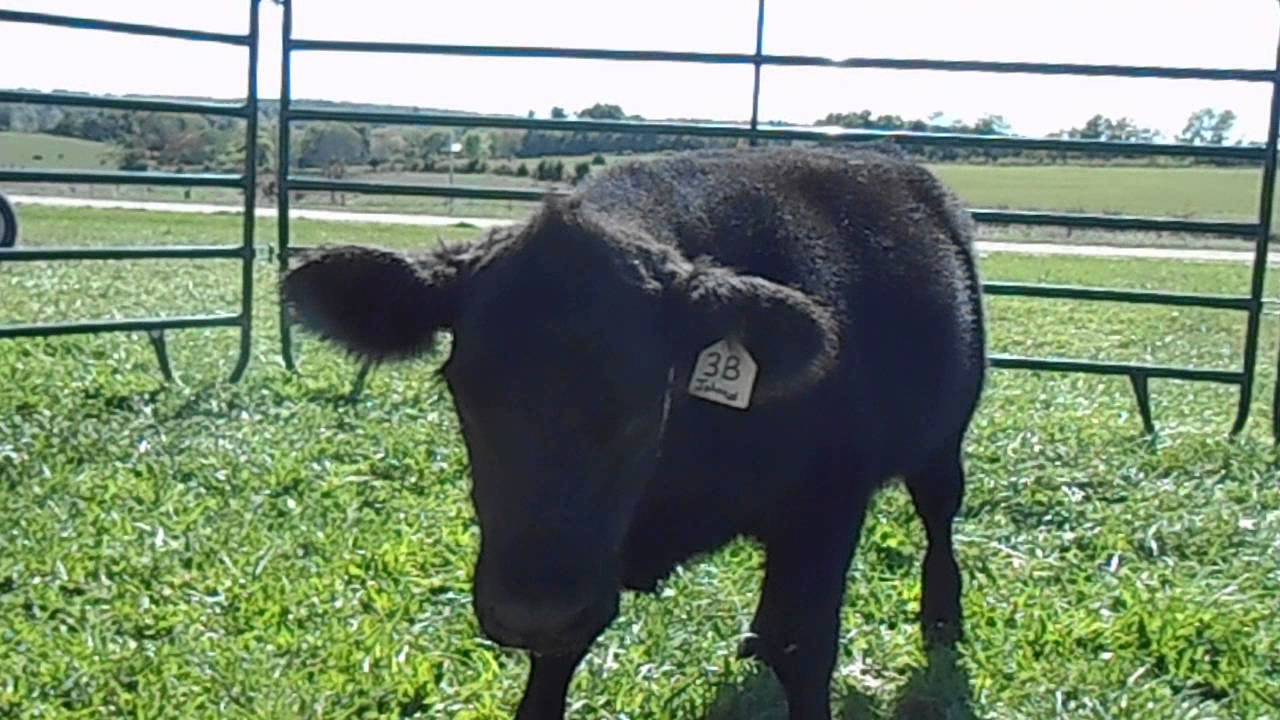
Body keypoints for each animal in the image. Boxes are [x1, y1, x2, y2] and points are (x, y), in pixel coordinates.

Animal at [282, 145, 988, 720]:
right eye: (465, 389)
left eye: (647, 395)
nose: (533, 611)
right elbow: (550, 675)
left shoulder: (828, 505)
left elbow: (807, 650)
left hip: (946, 439)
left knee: (939, 516)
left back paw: (942, 619)